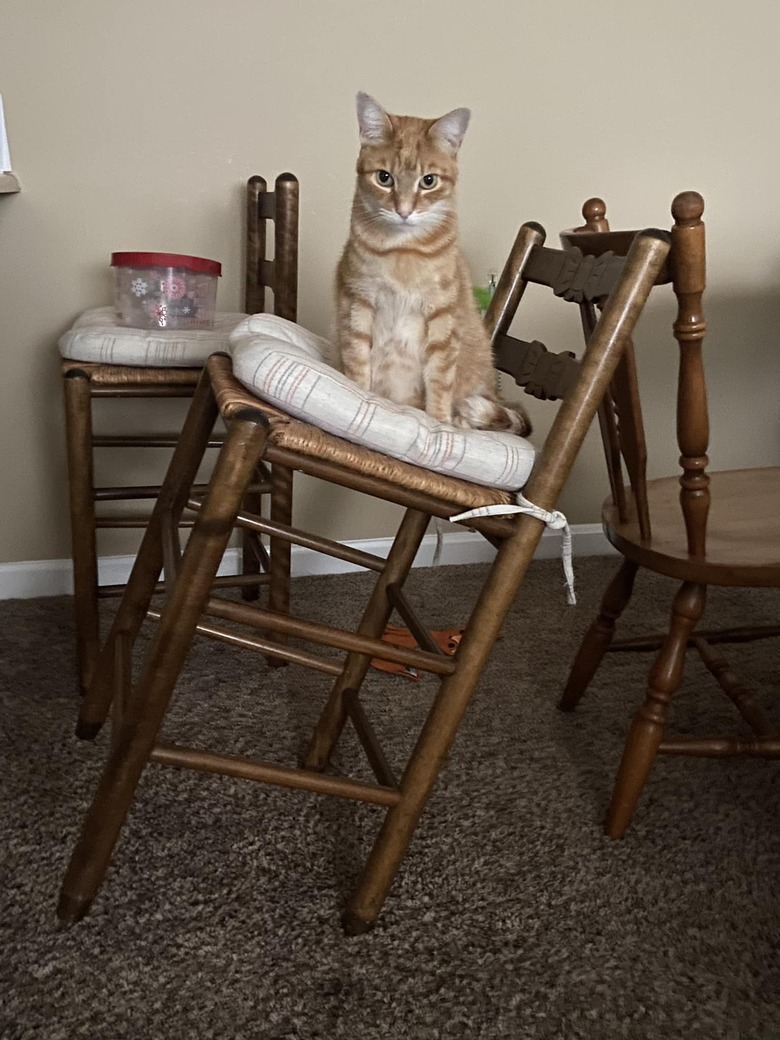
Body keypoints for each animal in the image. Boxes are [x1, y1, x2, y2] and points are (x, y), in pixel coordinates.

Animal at [336, 95, 532, 436]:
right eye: (384, 178)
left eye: (428, 181)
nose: (403, 210)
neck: (403, 251)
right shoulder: (357, 302)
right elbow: (357, 360)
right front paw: (357, 396)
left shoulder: (442, 317)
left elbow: (440, 379)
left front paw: (440, 422)